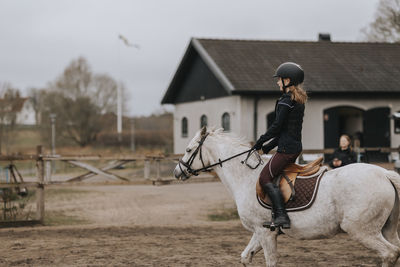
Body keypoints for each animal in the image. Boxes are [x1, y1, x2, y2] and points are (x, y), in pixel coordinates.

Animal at [174, 127, 400, 267]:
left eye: (189, 150)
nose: (177, 172)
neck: (245, 177)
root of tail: (384, 174)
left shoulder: (265, 233)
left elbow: (271, 262)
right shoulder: (261, 231)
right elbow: (246, 257)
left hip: (362, 230)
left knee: (389, 253)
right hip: (386, 229)